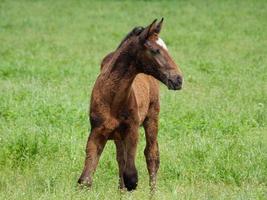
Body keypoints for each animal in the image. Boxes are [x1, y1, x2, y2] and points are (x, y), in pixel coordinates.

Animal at [78, 19, 184, 192]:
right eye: (155, 50)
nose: (178, 79)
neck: (113, 100)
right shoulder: (96, 132)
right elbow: (85, 179)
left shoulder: (132, 131)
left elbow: (131, 177)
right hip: (118, 136)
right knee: (121, 160)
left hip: (152, 118)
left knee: (152, 155)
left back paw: (153, 192)